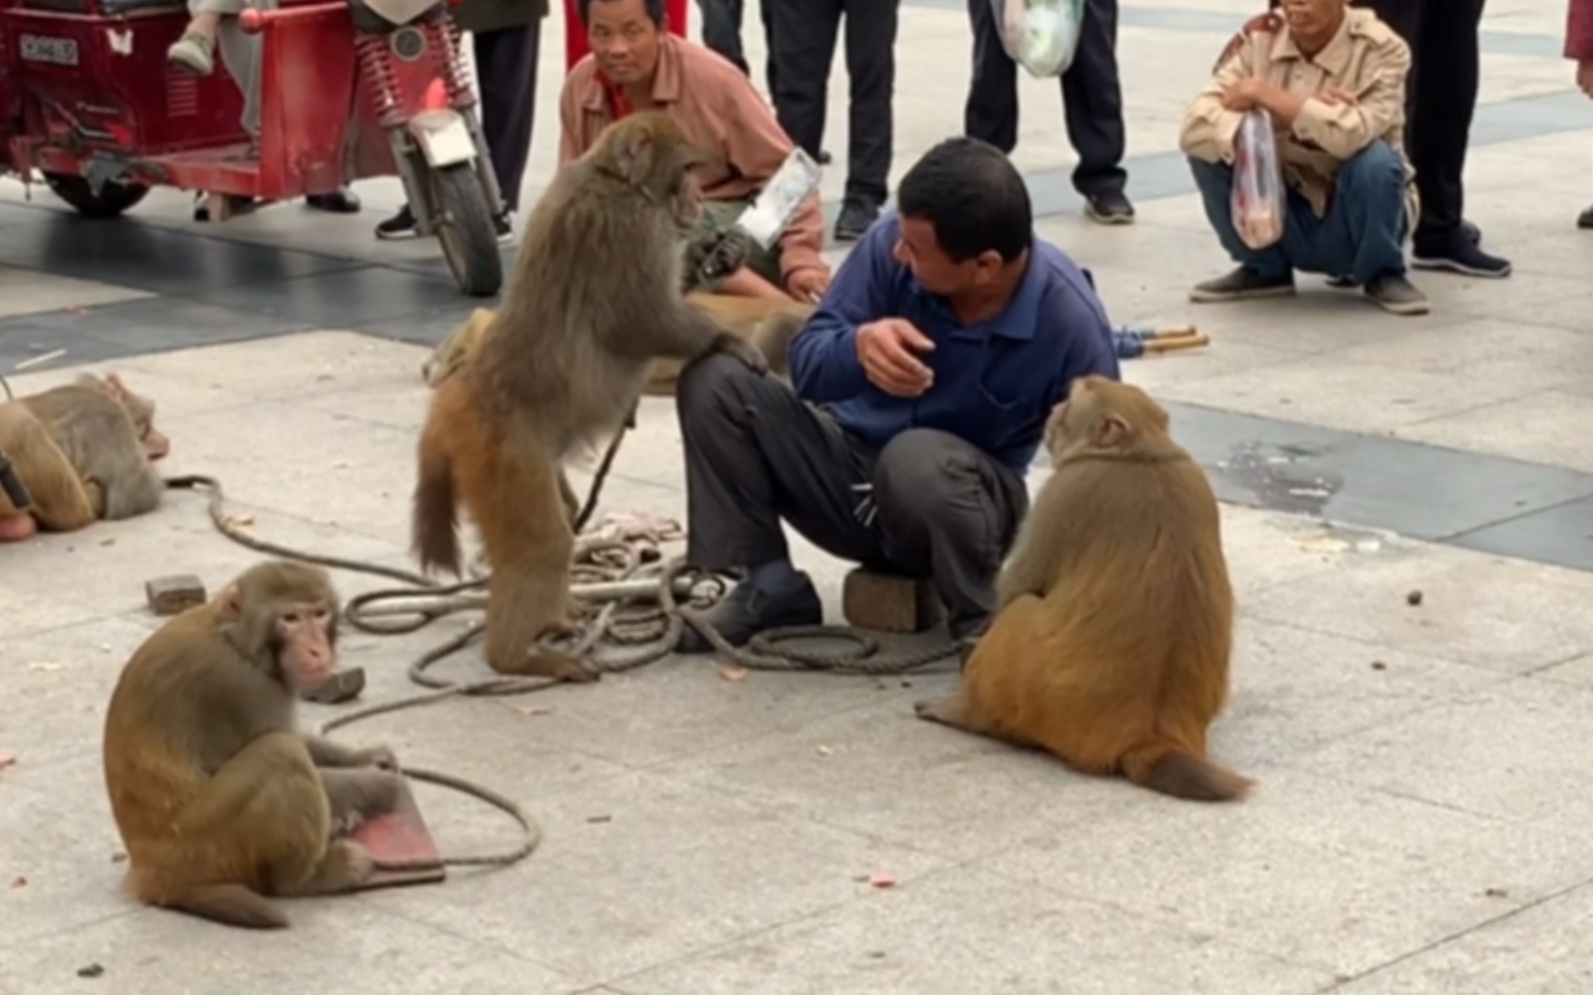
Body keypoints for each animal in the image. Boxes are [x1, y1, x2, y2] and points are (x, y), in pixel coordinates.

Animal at [103, 560, 407, 923]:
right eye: (290, 619)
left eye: (319, 614)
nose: (317, 650)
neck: (234, 640)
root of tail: (150, 874)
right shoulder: (242, 685)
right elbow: (284, 743)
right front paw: (381, 784)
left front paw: (369, 757)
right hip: (203, 846)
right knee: (281, 753)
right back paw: (306, 879)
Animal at [917, 375, 1248, 802]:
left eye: (1076, 398)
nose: (1054, 407)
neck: (1140, 451)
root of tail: (1148, 738)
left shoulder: (1067, 491)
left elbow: (1018, 585)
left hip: (1039, 696)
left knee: (1022, 608)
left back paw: (968, 714)